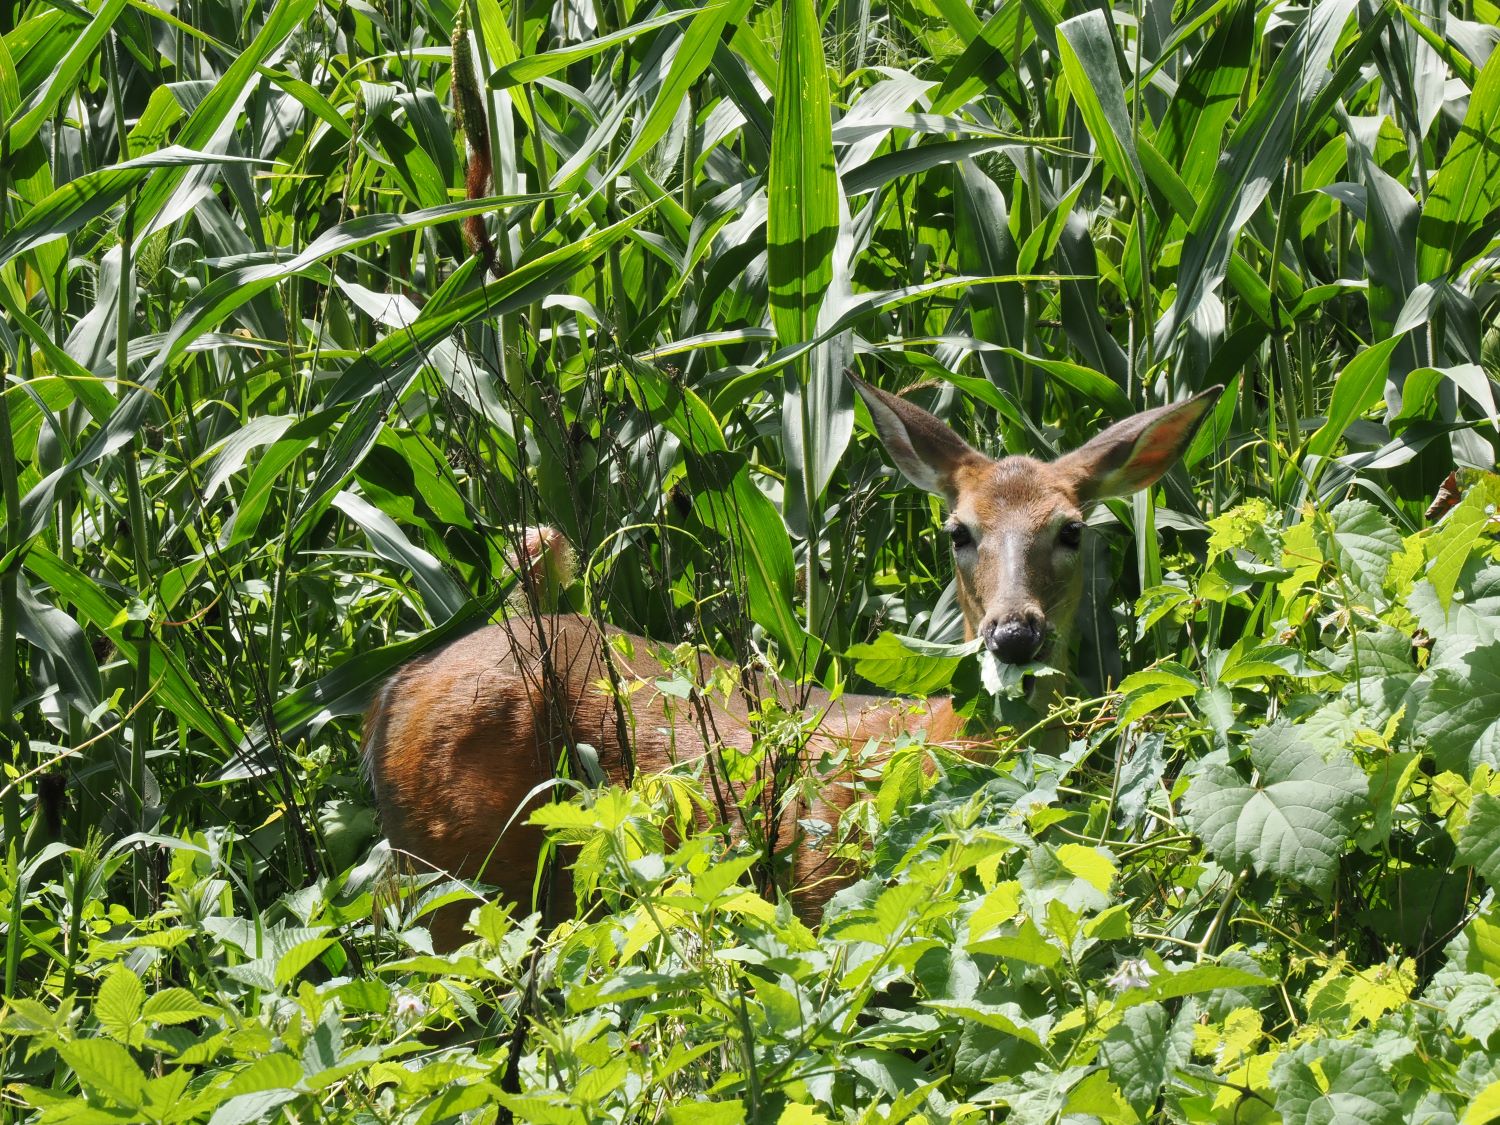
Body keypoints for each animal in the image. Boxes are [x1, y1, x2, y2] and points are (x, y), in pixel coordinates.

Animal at [362, 378, 1223, 948]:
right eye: (959, 530)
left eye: (1071, 529)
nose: (1014, 633)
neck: (944, 742)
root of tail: (393, 690)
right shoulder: (826, 892)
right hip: (458, 872)